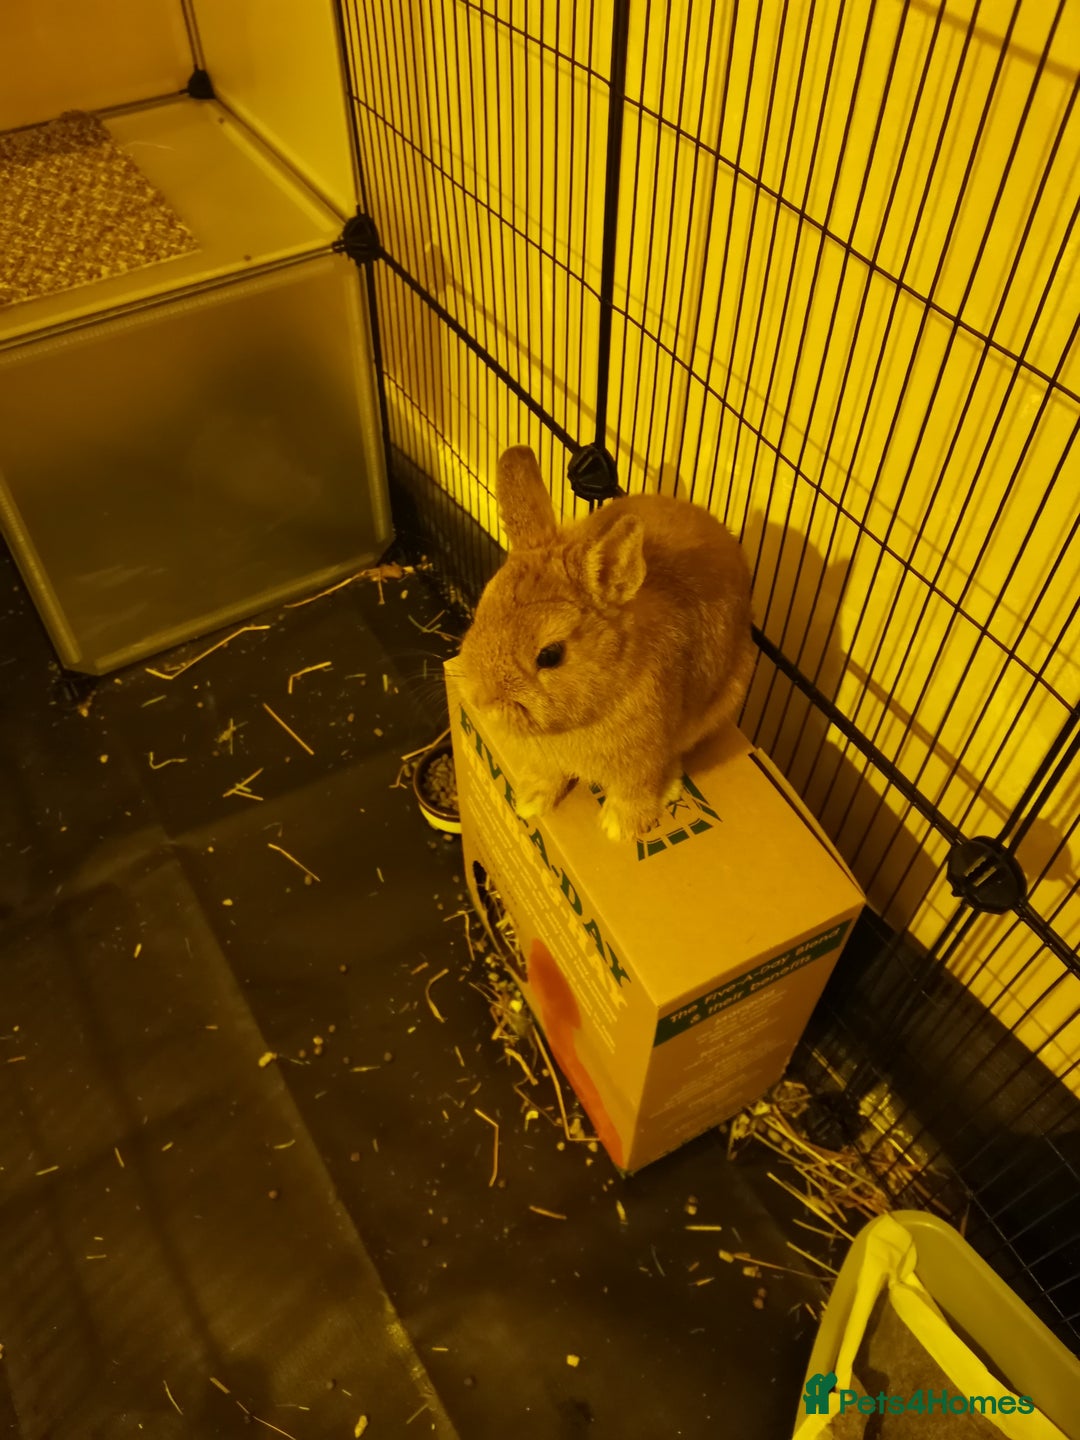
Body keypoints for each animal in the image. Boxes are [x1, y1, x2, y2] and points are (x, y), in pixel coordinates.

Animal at [457, 445, 756, 843]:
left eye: (550, 655)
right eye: (481, 612)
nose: (482, 699)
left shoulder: (642, 763)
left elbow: (635, 791)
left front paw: (621, 827)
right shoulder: (546, 758)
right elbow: (547, 776)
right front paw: (530, 801)